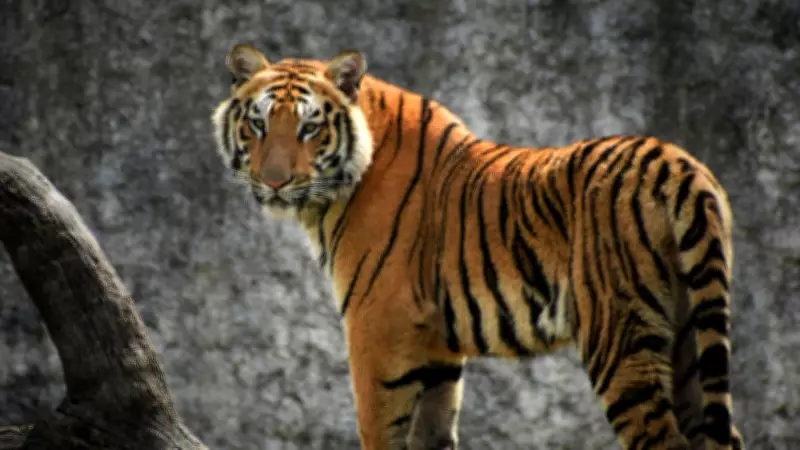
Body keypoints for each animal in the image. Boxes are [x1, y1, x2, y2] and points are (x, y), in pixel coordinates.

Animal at [211, 43, 744, 450]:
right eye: (258, 125)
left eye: (309, 127)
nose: (274, 181)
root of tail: (679, 164)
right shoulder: (436, 345)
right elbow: (432, 433)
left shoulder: (376, 324)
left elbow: (379, 429)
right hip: (689, 332)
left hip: (620, 334)